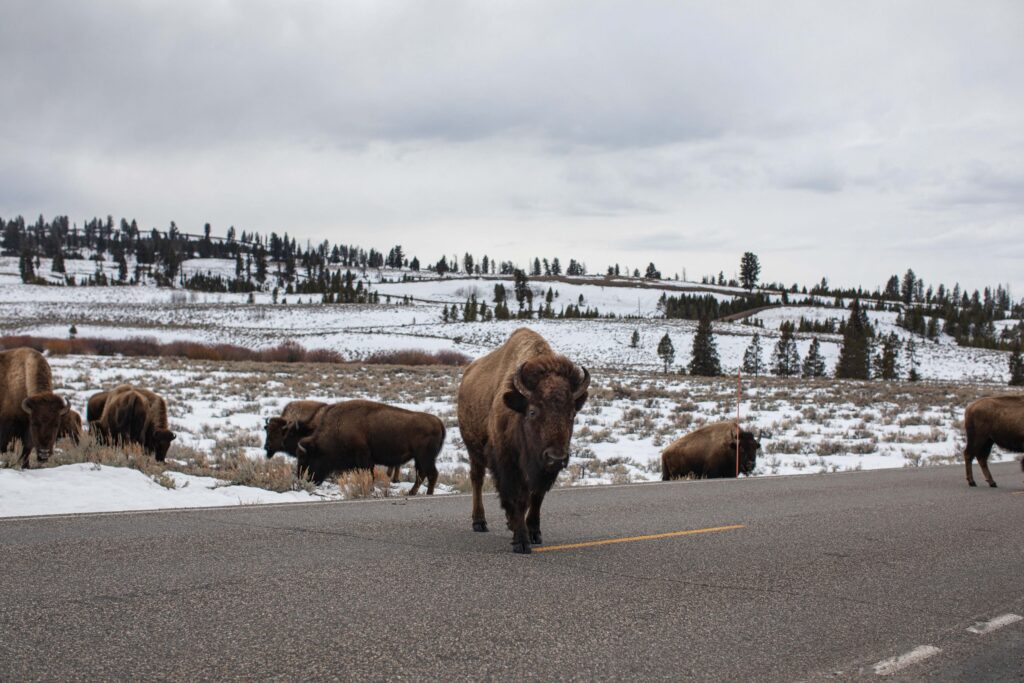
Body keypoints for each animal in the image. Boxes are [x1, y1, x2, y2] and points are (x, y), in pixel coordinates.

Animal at [292, 397, 444, 493]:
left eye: (306, 458)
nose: (301, 479)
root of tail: (438, 422)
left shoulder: (364, 458)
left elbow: (369, 475)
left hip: (425, 457)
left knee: (432, 474)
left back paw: (427, 494)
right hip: (419, 458)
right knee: (422, 474)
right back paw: (411, 493)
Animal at [458, 327, 593, 557]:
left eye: (571, 413)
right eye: (532, 411)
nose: (556, 457)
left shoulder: (543, 470)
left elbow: (536, 498)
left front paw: (534, 533)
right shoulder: (509, 464)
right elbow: (519, 498)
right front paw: (521, 541)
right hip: (474, 450)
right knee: (477, 479)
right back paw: (479, 522)